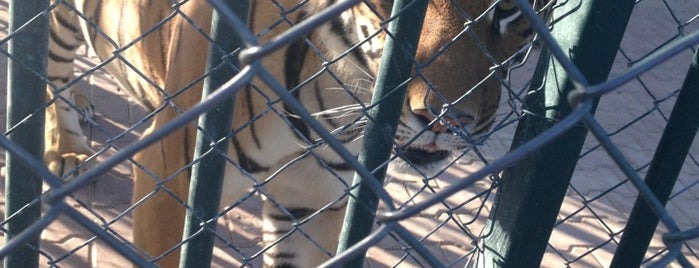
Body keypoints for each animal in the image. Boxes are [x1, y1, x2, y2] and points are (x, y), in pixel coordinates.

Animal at [45, 0, 548, 266]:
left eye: (508, 10)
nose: (446, 120)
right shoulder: (172, 180)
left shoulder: (315, 201)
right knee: (51, 73)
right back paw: (66, 150)